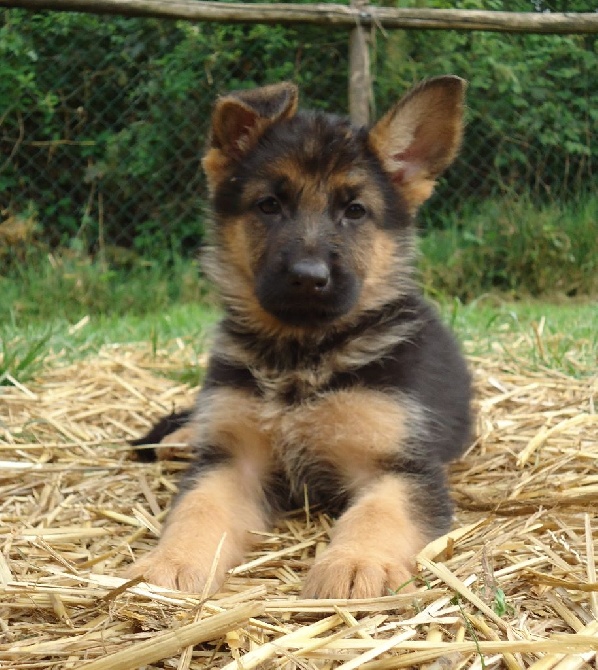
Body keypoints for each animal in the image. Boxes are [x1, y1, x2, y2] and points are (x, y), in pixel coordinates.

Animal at [130, 76, 474, 600]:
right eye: (269, 205)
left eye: (355, 211)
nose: (309, 278)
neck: (302, 355)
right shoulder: (233, 462)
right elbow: (199, 507)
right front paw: (172, 561)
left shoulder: (400, 469)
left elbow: (378, 513)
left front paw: (355, 562)